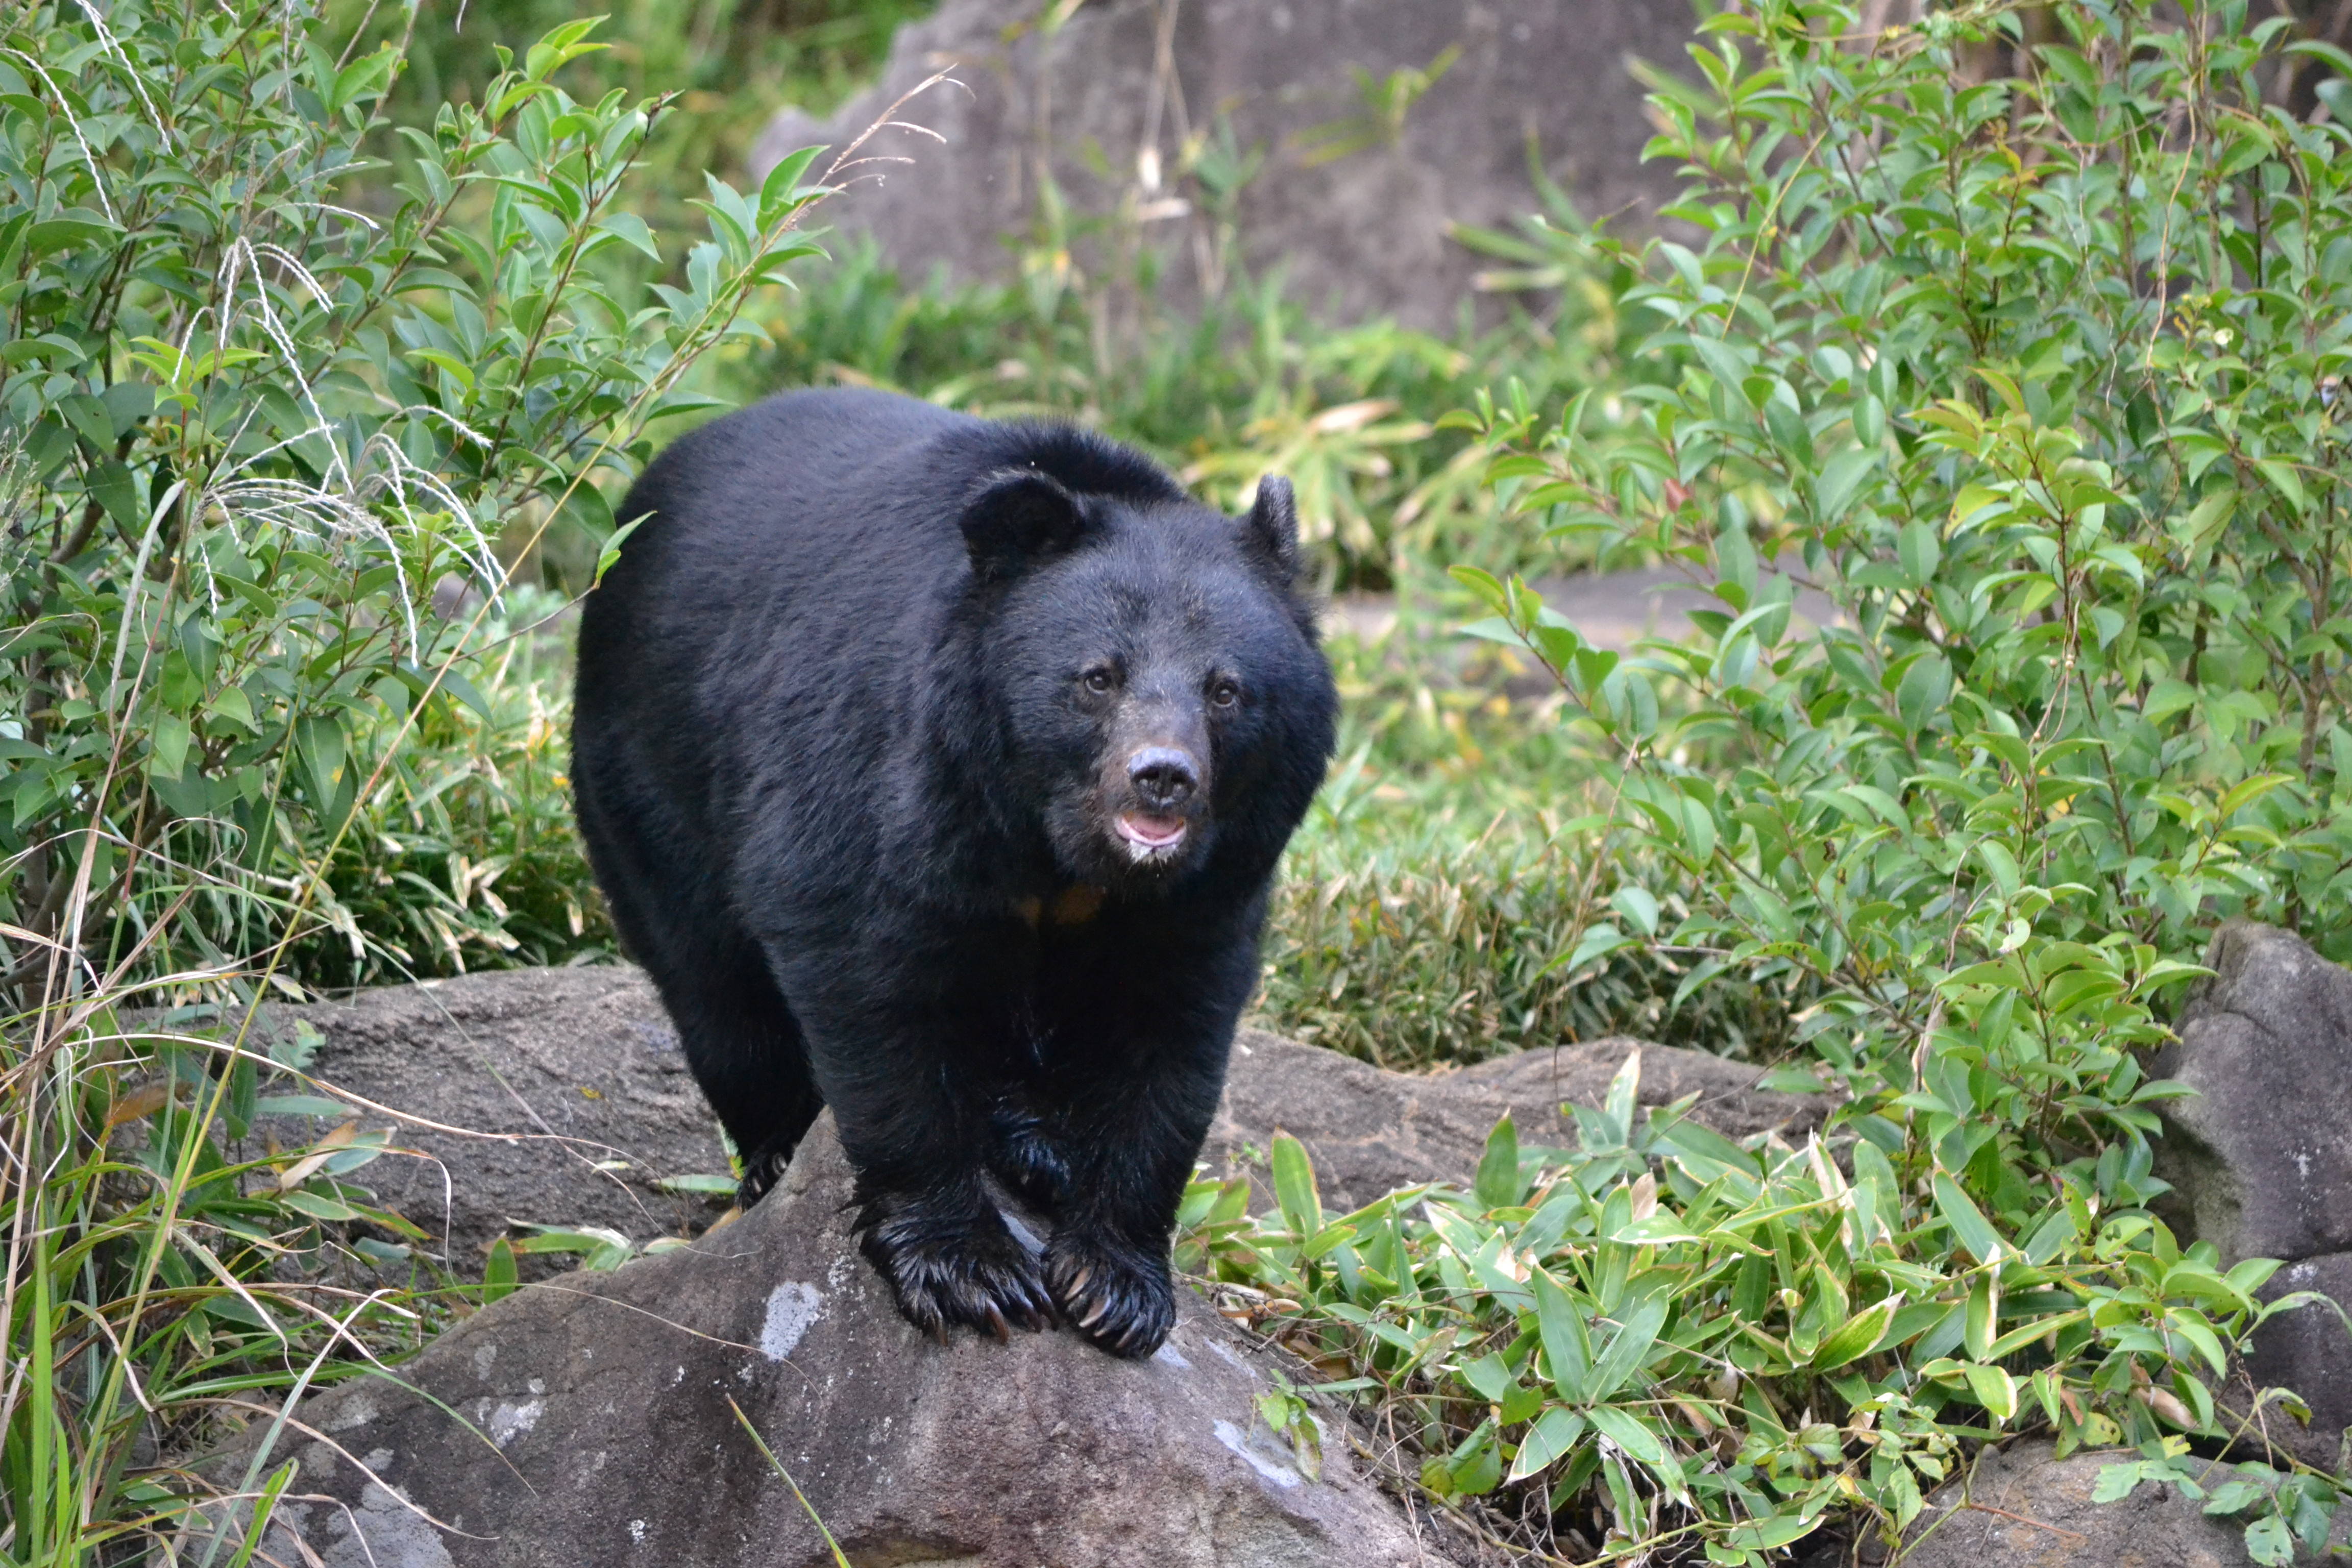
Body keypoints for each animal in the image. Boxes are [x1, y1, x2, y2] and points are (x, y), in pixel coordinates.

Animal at [569, 390, 1336, 1363]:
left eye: (1225, 691)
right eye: (1098, 678)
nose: (1162, 777)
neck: (1058, 843)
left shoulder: (1210, 882)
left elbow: (1171, 1031)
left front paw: (1117, 1287)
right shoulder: (890, 777)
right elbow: (869, 978)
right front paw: (973, 1274)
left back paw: (1036, 1145)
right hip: (643, 779)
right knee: (716, 991)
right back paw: (777, 1152)